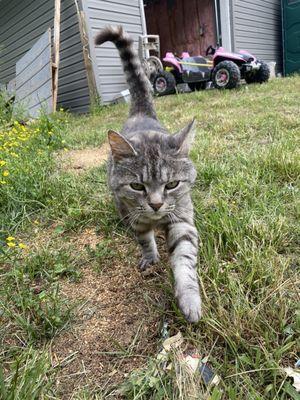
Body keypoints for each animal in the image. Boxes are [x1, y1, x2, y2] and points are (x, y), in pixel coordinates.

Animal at [95, 27, 200, 322]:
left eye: (172, 184)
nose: (155, 204)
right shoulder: (136, 218)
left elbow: (184, 259)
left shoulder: (183, 220)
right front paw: (151, 257)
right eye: (137, 186)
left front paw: (189, 299)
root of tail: (141, 112)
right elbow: (144, 240)